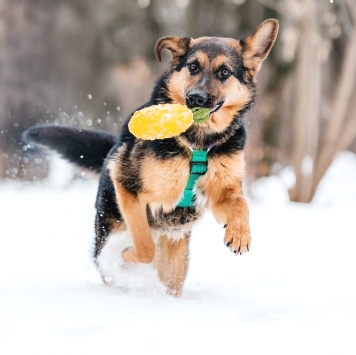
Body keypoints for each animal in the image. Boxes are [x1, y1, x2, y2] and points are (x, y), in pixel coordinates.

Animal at [23, 19, 280, 298]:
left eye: (224, 72)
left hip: (176, 262)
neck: (197, 142)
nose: (196, 98)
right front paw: (123, 256)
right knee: (111, 257)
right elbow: (145, 246)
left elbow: (240, 204)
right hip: (112, 225)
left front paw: (240, 234)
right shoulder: (129, 189)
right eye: (193, 66)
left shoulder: (222, 192)